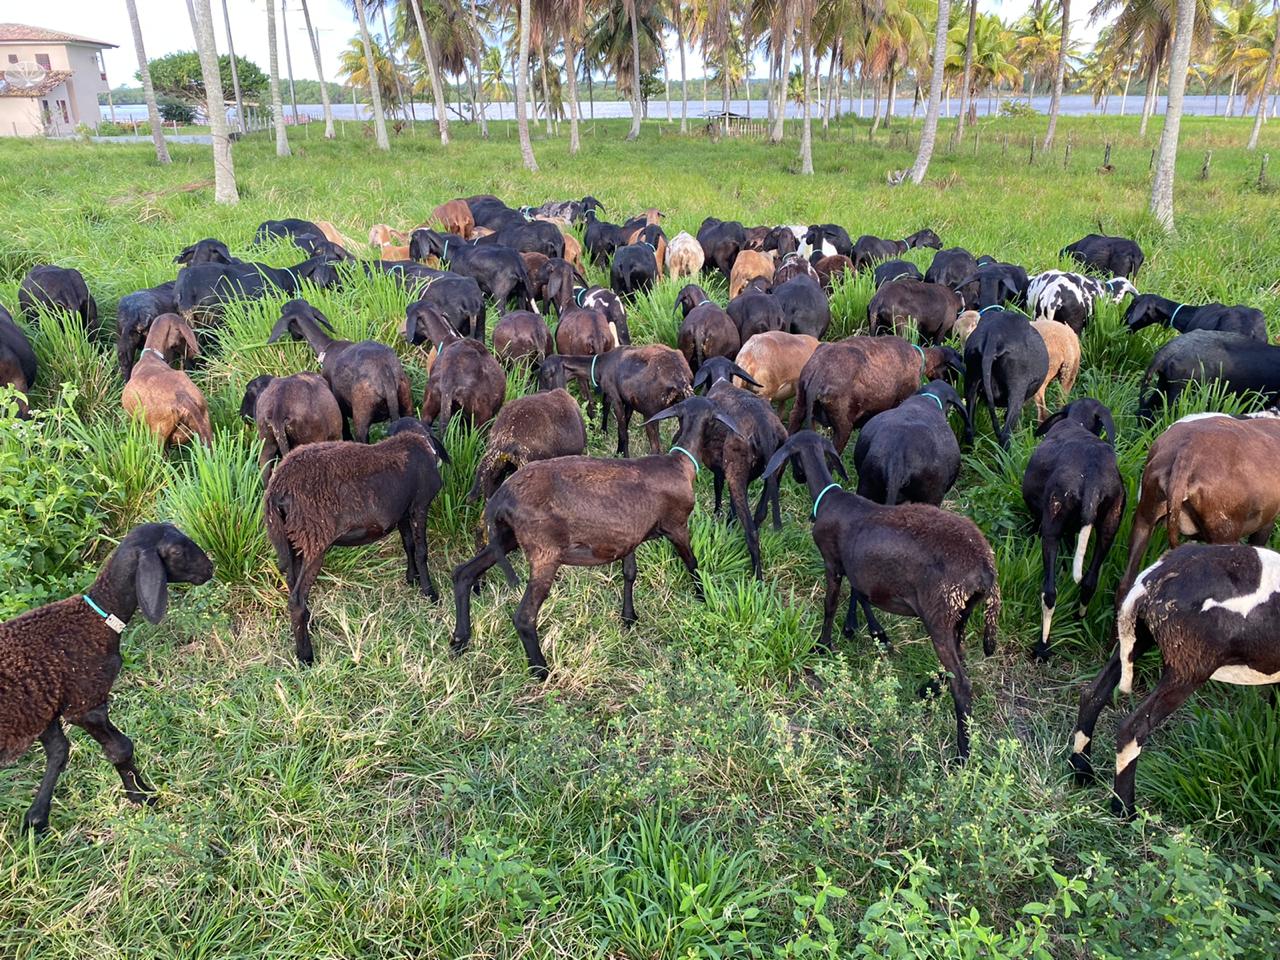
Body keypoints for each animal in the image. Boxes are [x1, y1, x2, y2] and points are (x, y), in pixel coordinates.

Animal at [120, 317, 211, 450]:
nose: (193, 353)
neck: (151, 355)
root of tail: (182, 396)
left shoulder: (133, 419)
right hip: (203, 423)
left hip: (158, 434)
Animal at [757, 432, 998, 762]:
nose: (796, 476)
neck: (829, 498)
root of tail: (985, 568)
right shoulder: (860, 569)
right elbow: (861, 595)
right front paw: (875, 634)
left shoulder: (833, 562)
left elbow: (831, 604)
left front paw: (823, 645)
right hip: (962, 611)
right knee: (958, 660)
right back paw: (929, 691)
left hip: (939, 610)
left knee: (961, 682)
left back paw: (962, 753)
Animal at [1018, 399, 1121, 660]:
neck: (1078, 420)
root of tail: (1092, 478)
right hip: (1110, 526)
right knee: (1089, 582)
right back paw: (1078, 620)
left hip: (1052, 526)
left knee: (1049, 593)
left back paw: (1042, 648)